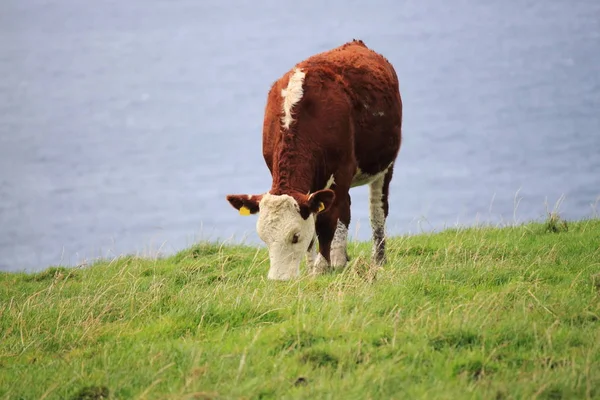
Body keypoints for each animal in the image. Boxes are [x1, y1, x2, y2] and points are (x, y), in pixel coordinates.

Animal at [226, 39, 404, 280]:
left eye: (294, 236)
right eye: (263, 238)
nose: (278, 280)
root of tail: (357, 43)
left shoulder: (342, 169)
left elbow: (326, 222)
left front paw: (321, 268)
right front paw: (312, 269)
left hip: (384, 164)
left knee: (377, 209)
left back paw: (377, 259)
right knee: (345, 207)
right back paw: (339, 258)